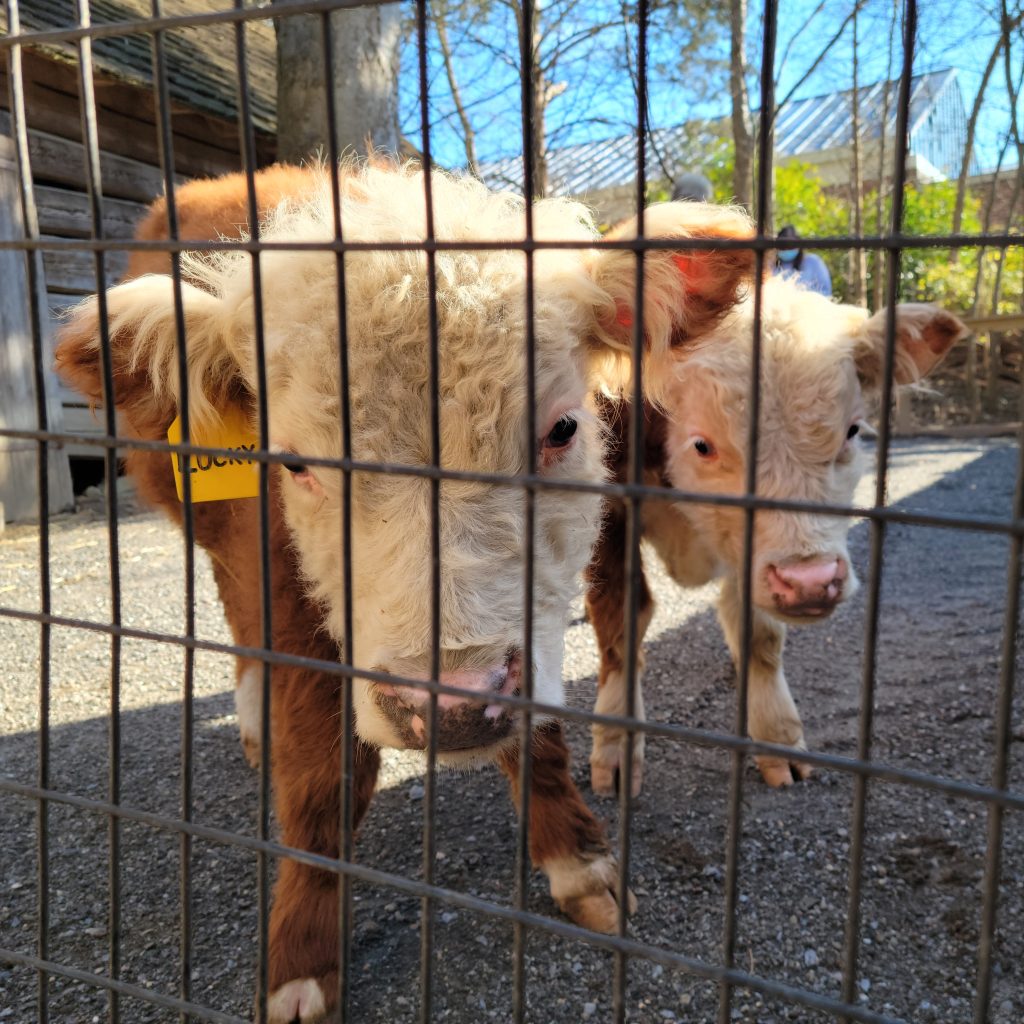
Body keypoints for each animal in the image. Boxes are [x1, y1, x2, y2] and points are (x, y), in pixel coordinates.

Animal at [55, 163, 756, 1022]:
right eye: (296, 462)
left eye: (562, 429)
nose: (446, 703)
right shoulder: (291, 605)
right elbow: (323, 777)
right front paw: (301, 957)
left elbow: (540, 731)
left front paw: (578, 859)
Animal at [583, 221, 966, 796]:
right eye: (703, 445)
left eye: (853, 431)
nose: (810, 582)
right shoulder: (608, 520)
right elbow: (618, 621)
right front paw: (616, 747)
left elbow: (760, 635)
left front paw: (778, 737)